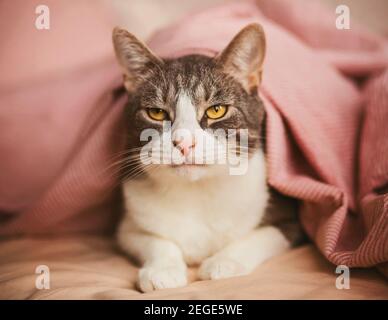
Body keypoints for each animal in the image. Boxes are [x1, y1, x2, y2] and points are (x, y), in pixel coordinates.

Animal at [112, 22, 304, 292]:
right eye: (156, 113)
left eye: (216, 110)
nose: (184, 142)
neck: (197, 190)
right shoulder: (127, 226)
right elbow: (154, 240)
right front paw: (163, 269)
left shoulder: (289, 221)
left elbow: (261, 235)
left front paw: (223, 263)